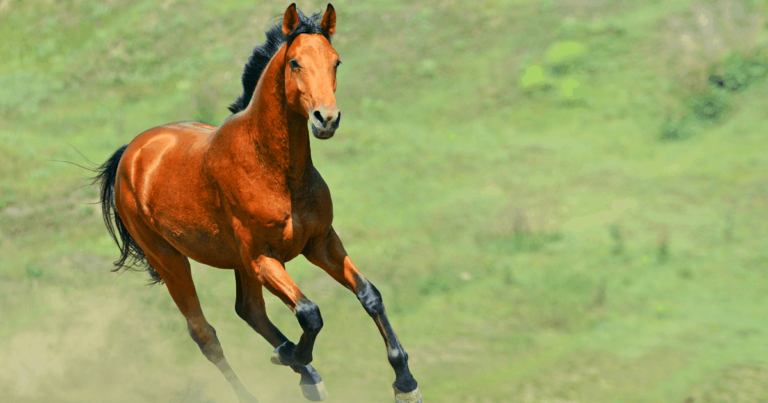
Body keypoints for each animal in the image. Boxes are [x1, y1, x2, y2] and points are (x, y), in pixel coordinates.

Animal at [92, 4, 421, 403]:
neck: (276, 171)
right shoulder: (263, 257)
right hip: (170, 259)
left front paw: (405, 381)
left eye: (336, 61)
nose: (326, 119)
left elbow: (368, 294)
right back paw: (286, 369)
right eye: (294, 62)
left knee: (249, 310)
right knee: (206, 335)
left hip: (236, 261)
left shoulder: (320, 242)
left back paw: (304, 371)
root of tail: (132, 153)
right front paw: (292, 355)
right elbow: (310, 312)